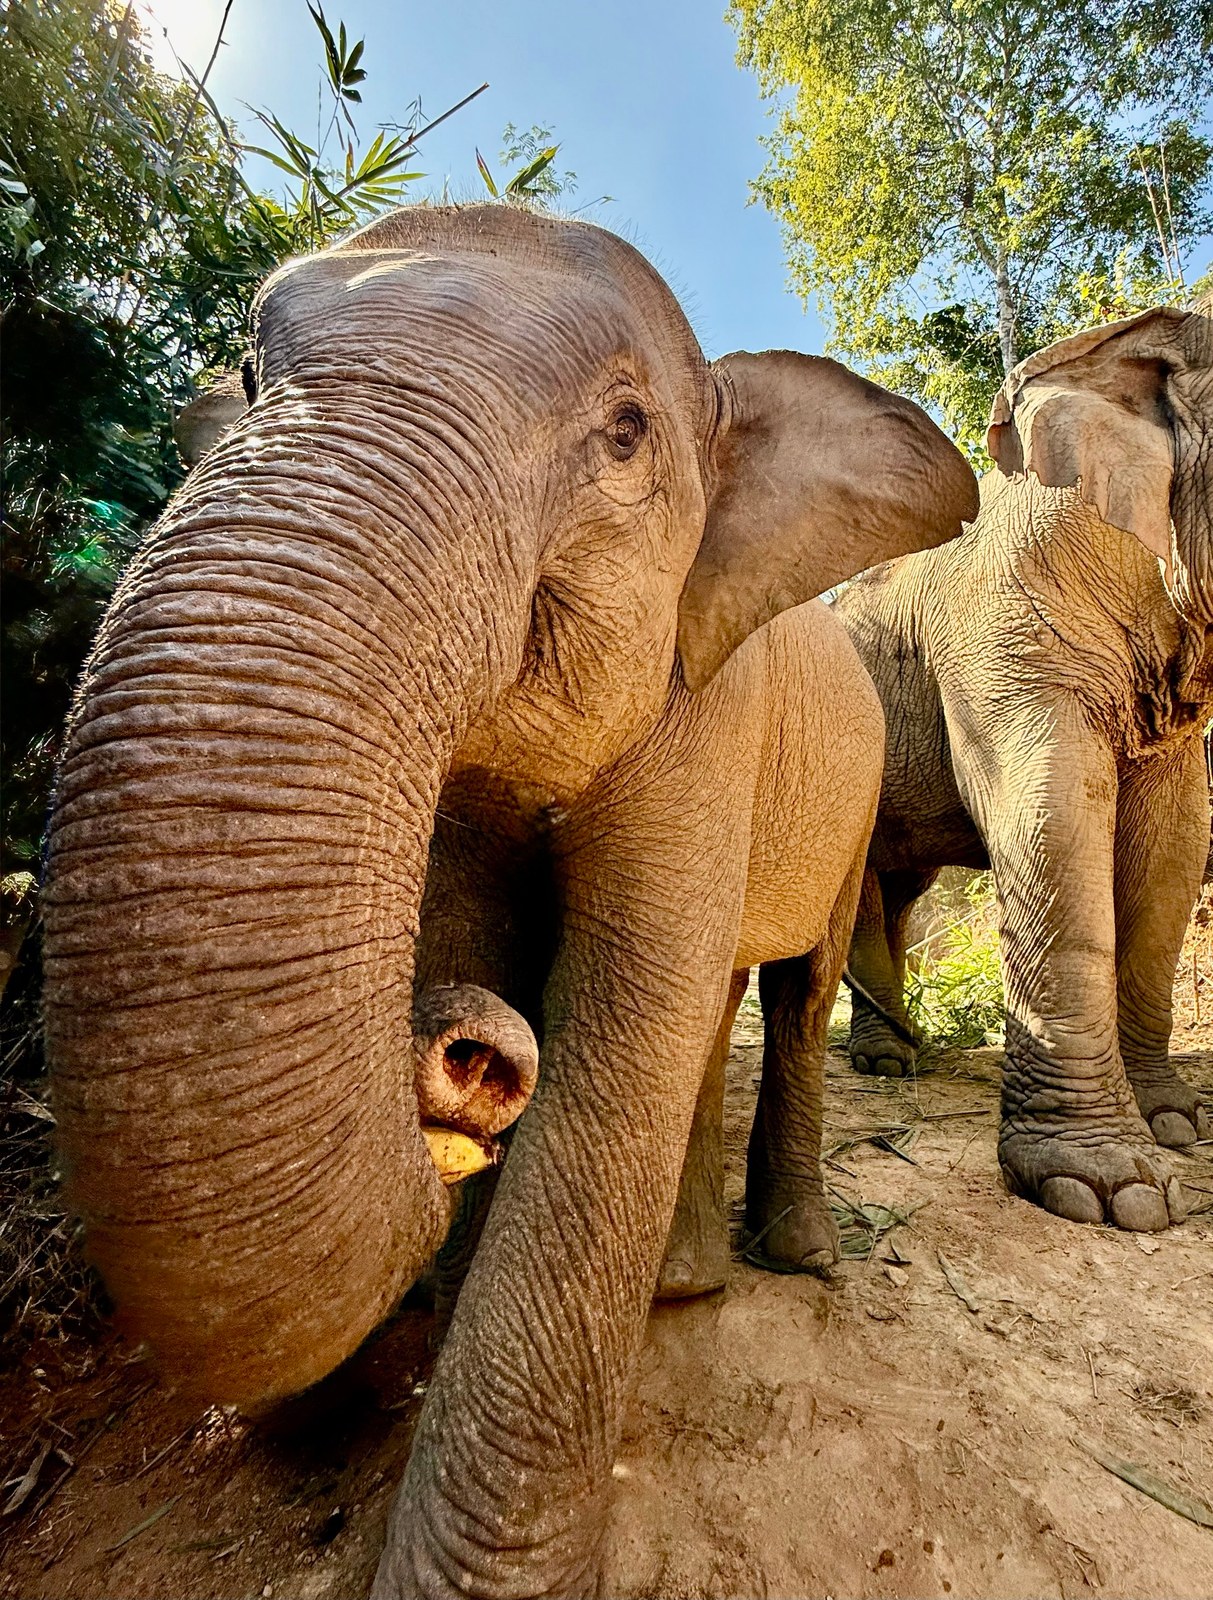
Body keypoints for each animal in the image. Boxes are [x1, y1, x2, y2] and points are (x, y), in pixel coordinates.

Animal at [41, 204, 977, 1597]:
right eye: (251, 378)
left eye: (627, 432)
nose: (467, 1050)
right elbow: (530, 956)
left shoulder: (710, 713)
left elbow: (619, 1024)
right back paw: (681, 1286)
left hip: (853, 794)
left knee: (793, 991)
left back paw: (793, 1255)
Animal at [836, 297, 1213, 1235]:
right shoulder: (1009, 640)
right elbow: (1049, 816)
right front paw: (1110, 1192)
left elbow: (1173, 844)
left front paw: (1175, 1124)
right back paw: (888, 1064)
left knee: (901, 889)